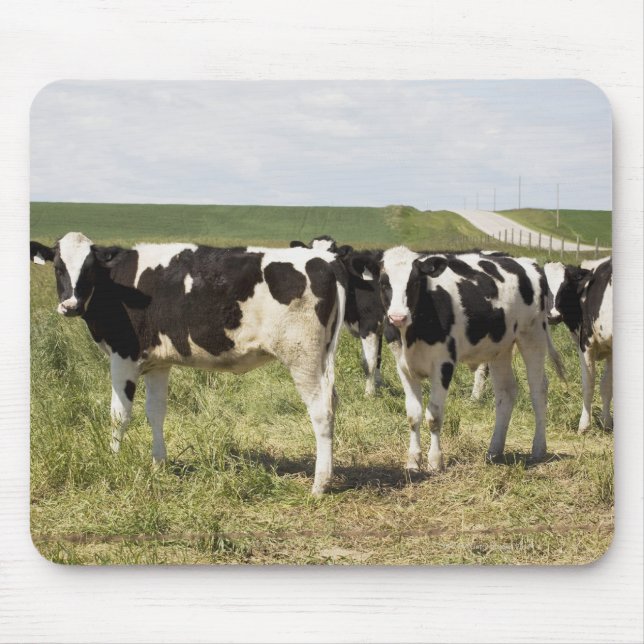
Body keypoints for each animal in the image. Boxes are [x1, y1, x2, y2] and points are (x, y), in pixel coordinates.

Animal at [30, 232, 346, 495]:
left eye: (89, 269)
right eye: (58, 267)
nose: (70, 306)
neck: (115, 284)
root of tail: (325, 261)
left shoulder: (123, 355)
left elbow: (119, 414)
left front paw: (113, 460)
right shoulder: (157, 363)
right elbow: (155, 413)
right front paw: (158, 464)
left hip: (302, 357)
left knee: (321, 411)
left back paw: (319, 484)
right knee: (332, 401)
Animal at [351, 246, 565, 471]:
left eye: (415, 282)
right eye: (384, 283)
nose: (398, 317)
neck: (413, 332)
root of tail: (526, 262)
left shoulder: (444, 364)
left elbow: (434, 416)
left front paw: (435, 461)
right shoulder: (403, 366)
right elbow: (413, 415)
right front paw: (413, 460)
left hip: (533, 335)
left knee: (538, 389)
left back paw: (538, 448)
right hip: (500, 348)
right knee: (506, 392)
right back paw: (494, 450)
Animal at [544, 257, 612, 433]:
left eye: (565, 287)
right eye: (543, 287)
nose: (553, 316)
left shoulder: (587, 343)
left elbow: (589, 384)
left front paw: (584, 425)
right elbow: (606, 386)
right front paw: (606, 422)